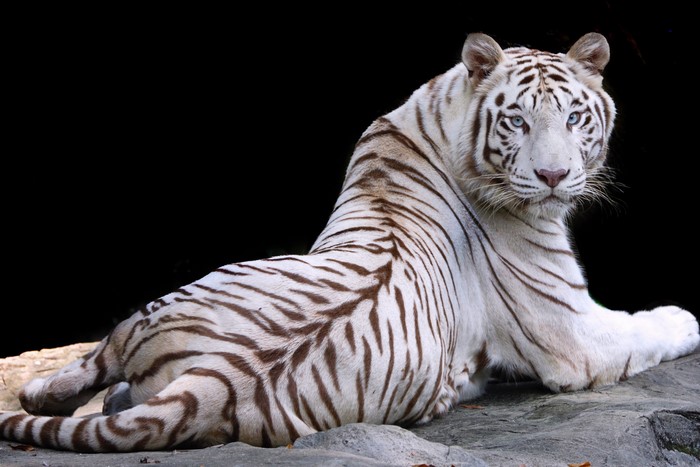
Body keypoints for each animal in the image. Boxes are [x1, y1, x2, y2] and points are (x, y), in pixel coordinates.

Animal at [1, 31, 698, 453]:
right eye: (518, 122)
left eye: (576, 118)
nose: (554, 177)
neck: (437, 112)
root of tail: (220, 381)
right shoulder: (573, 336)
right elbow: (651, 327)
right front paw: (685, 316)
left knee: (70, 383)